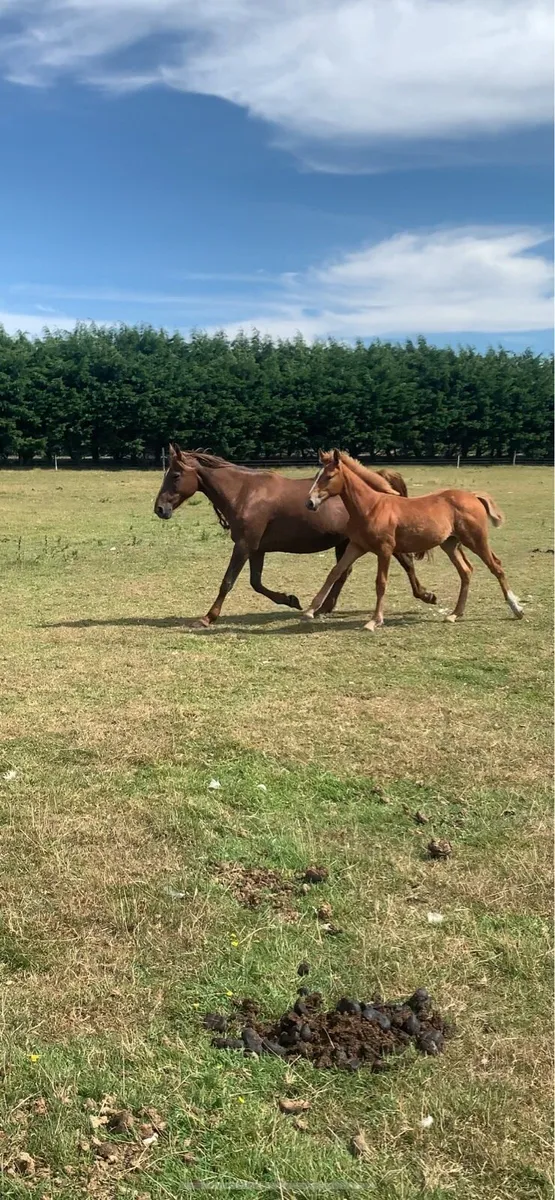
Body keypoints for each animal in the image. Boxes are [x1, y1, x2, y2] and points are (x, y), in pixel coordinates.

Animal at [153, 445, 436, 626]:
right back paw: (323, 608)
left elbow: (228, 582)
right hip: (346, 542)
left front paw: (208, 617)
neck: (244, 492)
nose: (159, 509)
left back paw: (426, 595)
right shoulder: (256, 548)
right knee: (343, 573)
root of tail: (380, 481)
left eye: (175, 475)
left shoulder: (244, 545)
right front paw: (290, 600)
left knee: (406, 562)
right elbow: (256, 583)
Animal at [303, 449, 523, 630]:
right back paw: (454, 614)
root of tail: (473, 496)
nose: (310, 503)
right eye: (317, 476)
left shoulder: (384, 550)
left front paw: (375, 621)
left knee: (496, 566)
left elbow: (381, 582)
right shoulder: (357, 546)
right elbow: (334, 572)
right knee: (466, 571)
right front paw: (311, 610)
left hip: (476, 539)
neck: (371, 506)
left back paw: (517, 609)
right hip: (450, 544)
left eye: (329, 476)